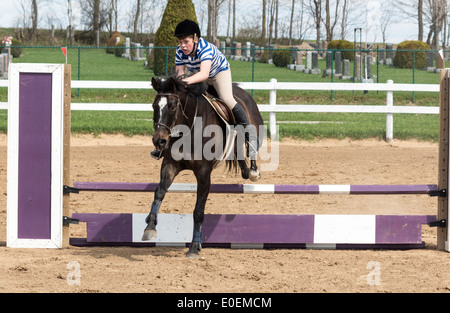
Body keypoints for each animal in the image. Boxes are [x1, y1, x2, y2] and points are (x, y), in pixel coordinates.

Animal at [142, 75, 264, 256]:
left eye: (172, 107)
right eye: (154, 106)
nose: (159, 141)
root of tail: (243, 93)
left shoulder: (204, 173)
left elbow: (199, 210)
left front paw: (194, 246)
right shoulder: (170, 165)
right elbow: (159, 193)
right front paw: (150, 227)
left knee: (251, 143)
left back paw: (254, 171)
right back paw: (245, 171)